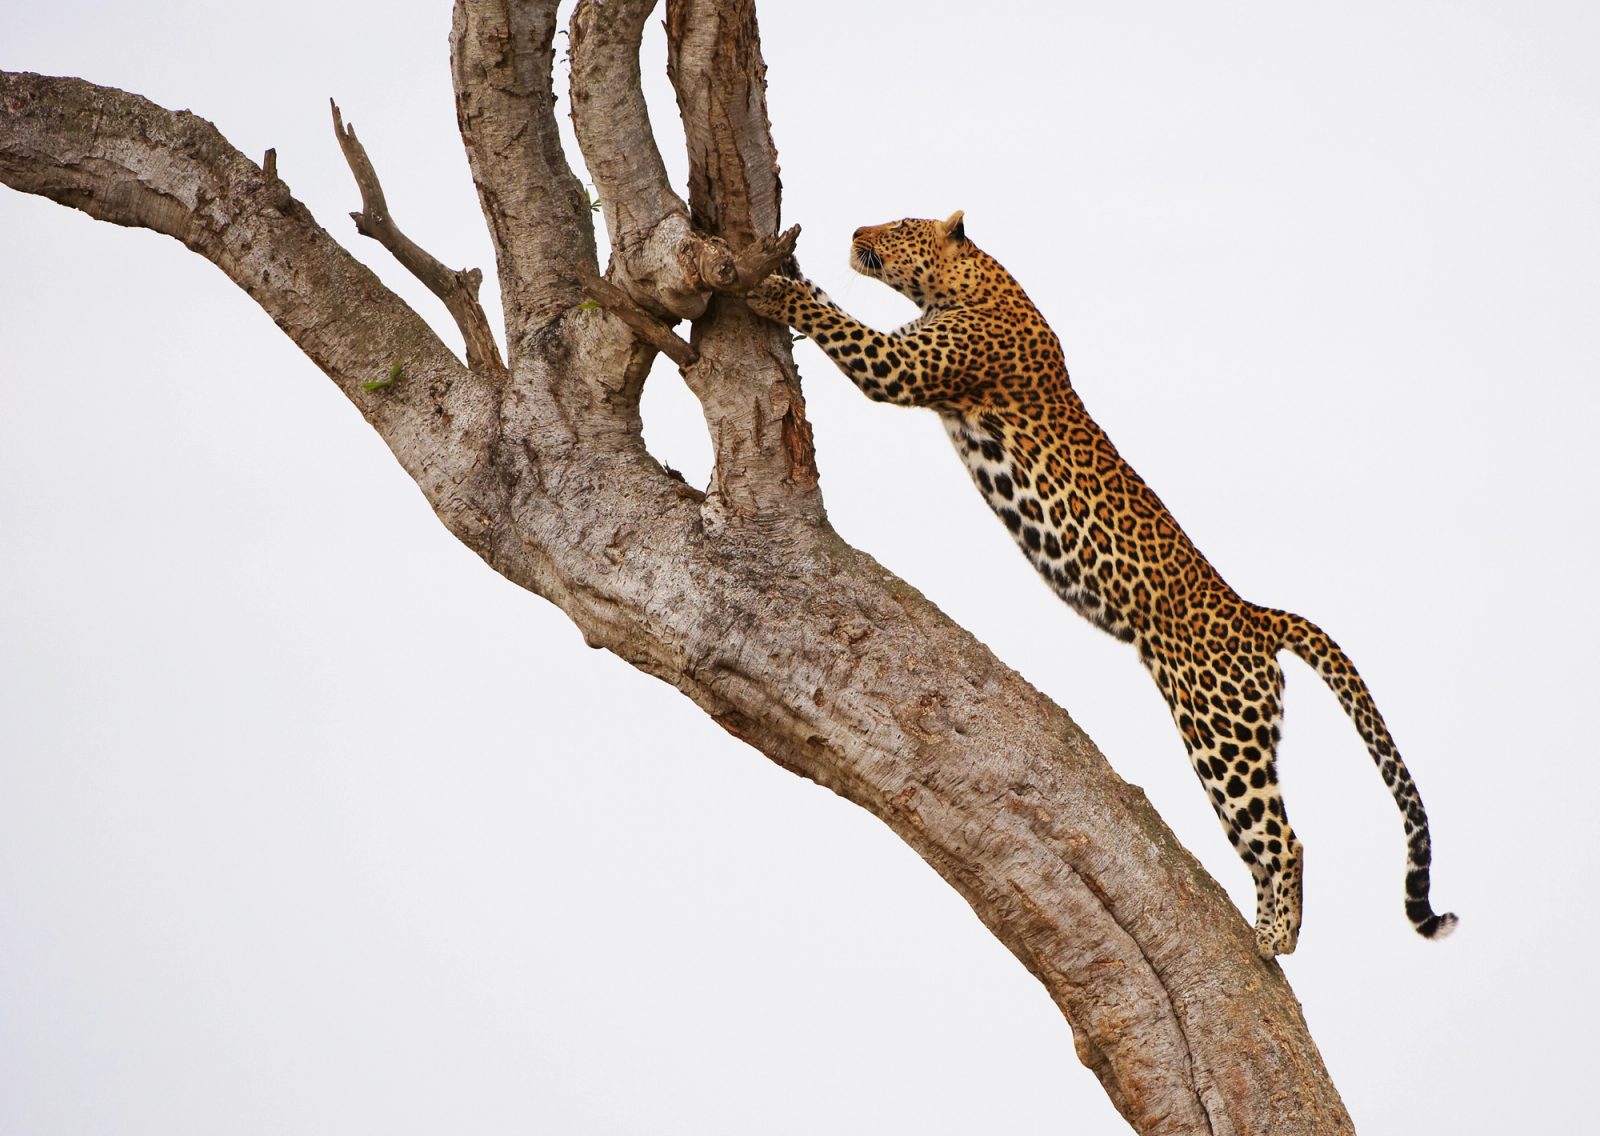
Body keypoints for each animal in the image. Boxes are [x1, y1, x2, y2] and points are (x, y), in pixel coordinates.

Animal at [746, 211, 1456, 958]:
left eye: (902, 223)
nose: (858, 231)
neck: (969, 283)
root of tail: (1256, 615)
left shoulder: (904, 365)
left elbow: (838, 320)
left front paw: (771, 288)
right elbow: (828, 298)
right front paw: (783, 267)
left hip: (1221, 731)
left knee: (1282, 838)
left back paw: (1272, 940)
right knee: (1260, 840)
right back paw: (1264, 932)